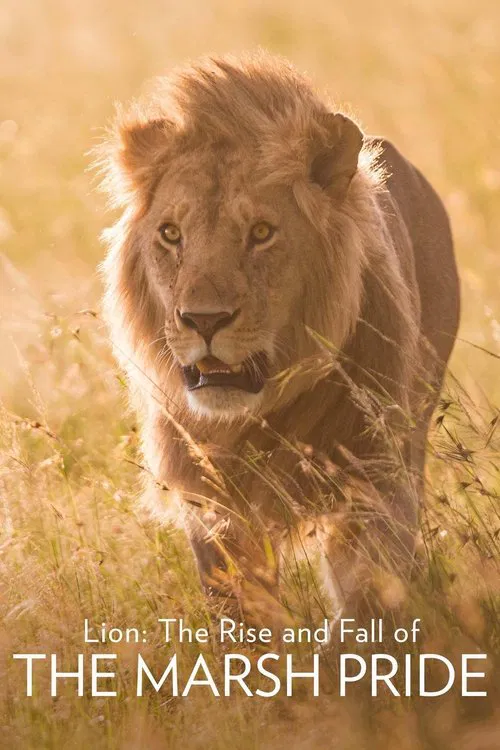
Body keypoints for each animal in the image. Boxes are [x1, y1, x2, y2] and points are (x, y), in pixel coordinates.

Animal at [98, 51, 460, 621]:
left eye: (262, 233)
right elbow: (240, 613)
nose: (203, 320)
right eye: (171, 234)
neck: (259, 418)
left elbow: (367, 600)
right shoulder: (213, 507)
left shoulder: (376, 483)